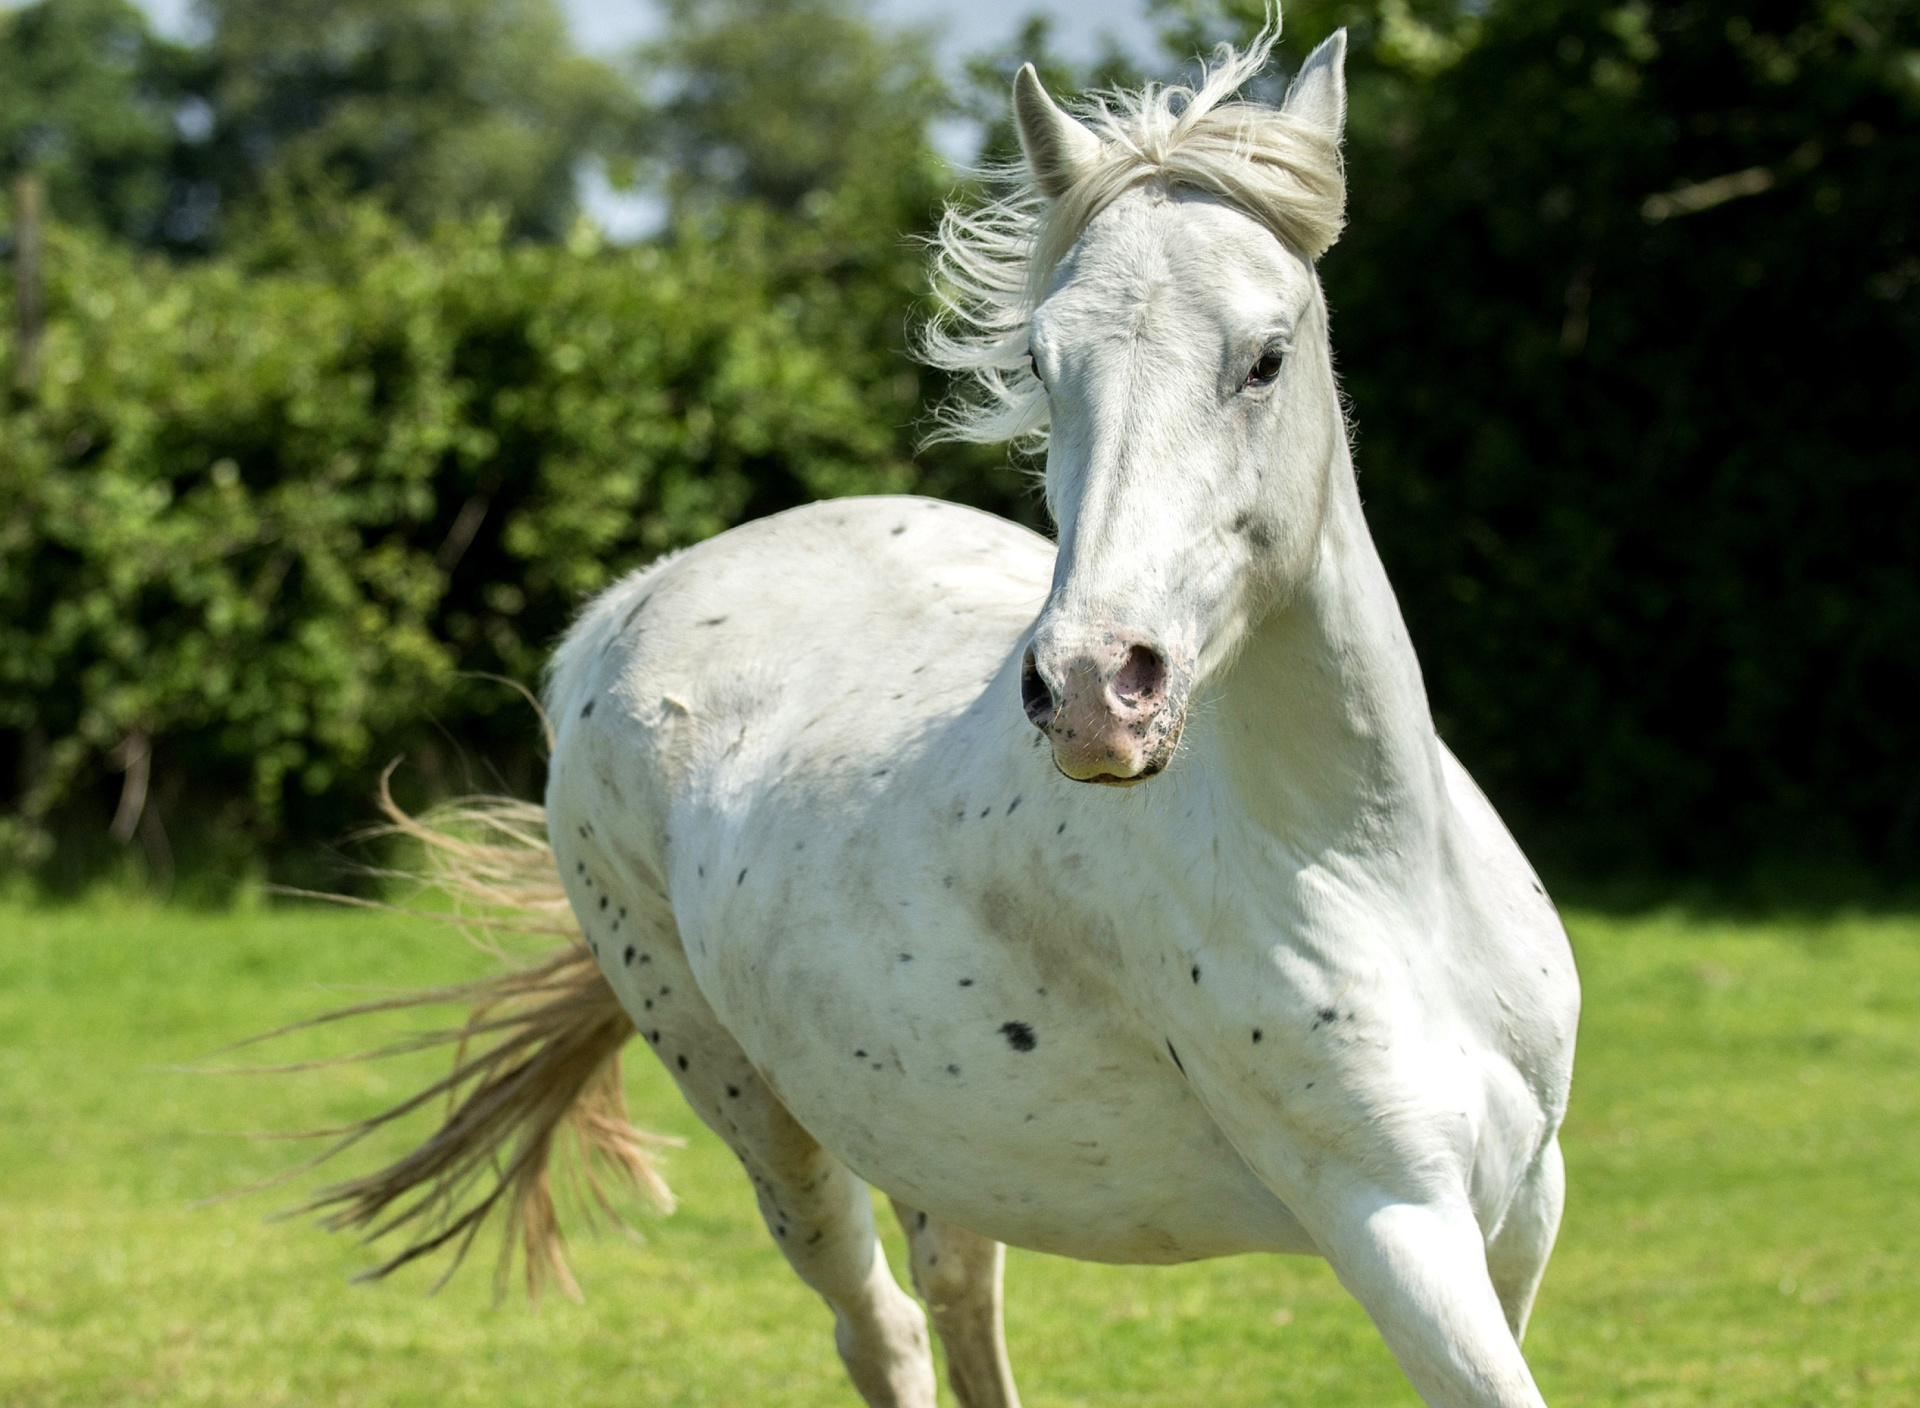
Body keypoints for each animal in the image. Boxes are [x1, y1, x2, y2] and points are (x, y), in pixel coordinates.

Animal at [299, 30, 1574, 1406]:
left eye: (1267, 356)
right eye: (1044, 365)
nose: (1095, 691)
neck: (1367, 864)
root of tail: (630, 607)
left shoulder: (1519, 1213)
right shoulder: (1388, 1219)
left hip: (933, 1141)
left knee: (957, 1300)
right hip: (766, 1121)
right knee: (883, 1328)